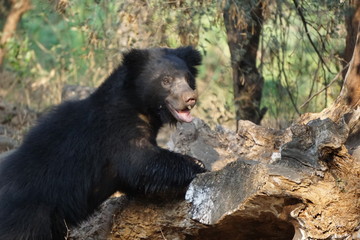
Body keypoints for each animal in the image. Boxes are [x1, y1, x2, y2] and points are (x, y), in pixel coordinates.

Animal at [0, 46, 208, 239]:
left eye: (188, 78)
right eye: (166, 80)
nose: (190, 98)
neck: (138, 107)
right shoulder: (117, 132)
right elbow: (140, 161)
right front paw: (199, 165)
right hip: (31, 216)